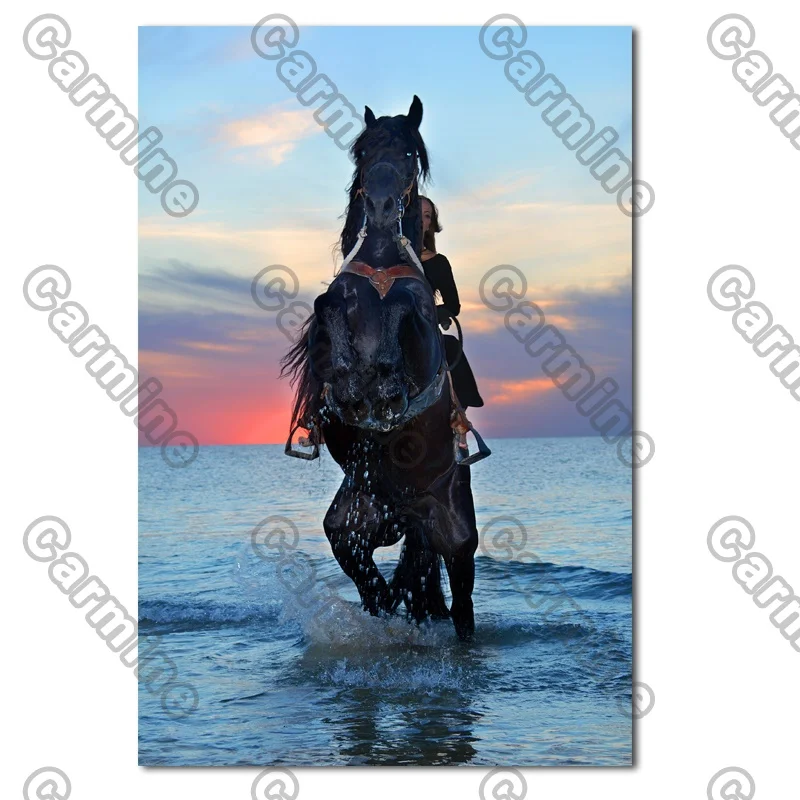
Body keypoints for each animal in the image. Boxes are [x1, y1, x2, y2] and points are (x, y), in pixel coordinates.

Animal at [280, 96, 489, 641]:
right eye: (364, 149)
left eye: (409, 154)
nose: (377, 204)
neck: (378, 259)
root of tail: (409, 508)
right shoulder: (331, 315)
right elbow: (328, 306)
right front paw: (354, 385)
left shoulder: (421, 327)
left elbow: (406, 307)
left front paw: (387, 383)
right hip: (353, 526)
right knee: (374, 585)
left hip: (456, 539)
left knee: (462, 608)